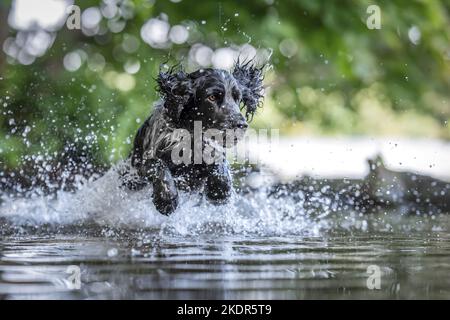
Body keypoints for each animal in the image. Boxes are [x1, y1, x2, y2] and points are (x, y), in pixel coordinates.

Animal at [121, 62, 266, 215]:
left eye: (237, 98)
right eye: (212, 97)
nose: (241, 125)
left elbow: (217, 160)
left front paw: (220, 187)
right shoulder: (142, 163)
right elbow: (157, 165)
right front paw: (166, 198)